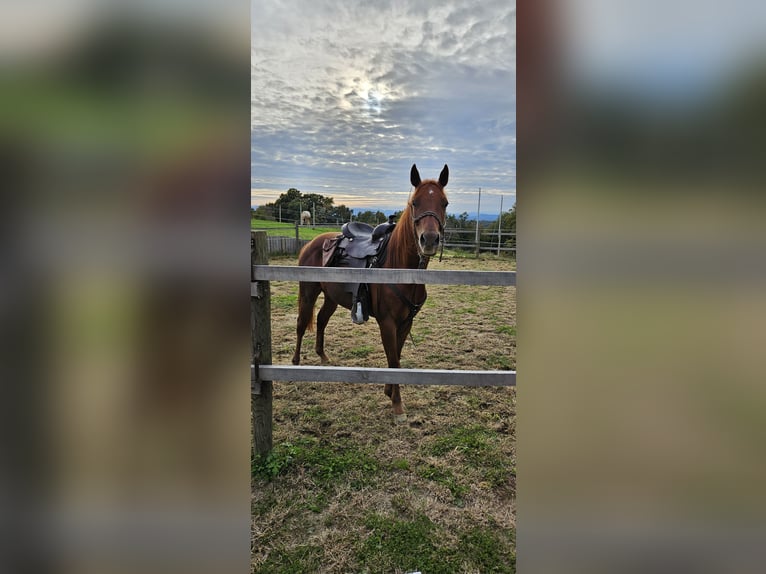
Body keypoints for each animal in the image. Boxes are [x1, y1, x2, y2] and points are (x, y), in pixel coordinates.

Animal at [292, 164, 450, 420]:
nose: (429, 240)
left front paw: (389, 391)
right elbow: (393, 360)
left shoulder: (406, 323)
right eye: (415, 202)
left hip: (331, 298)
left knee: (321, 320)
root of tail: (313, 242)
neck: (399, 268)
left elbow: (396, 357)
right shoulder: (387, 323)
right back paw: (295, 363)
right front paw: (397, 405)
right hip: (308, 293)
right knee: (301, 323)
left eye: (444, 203)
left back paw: (323, 356)